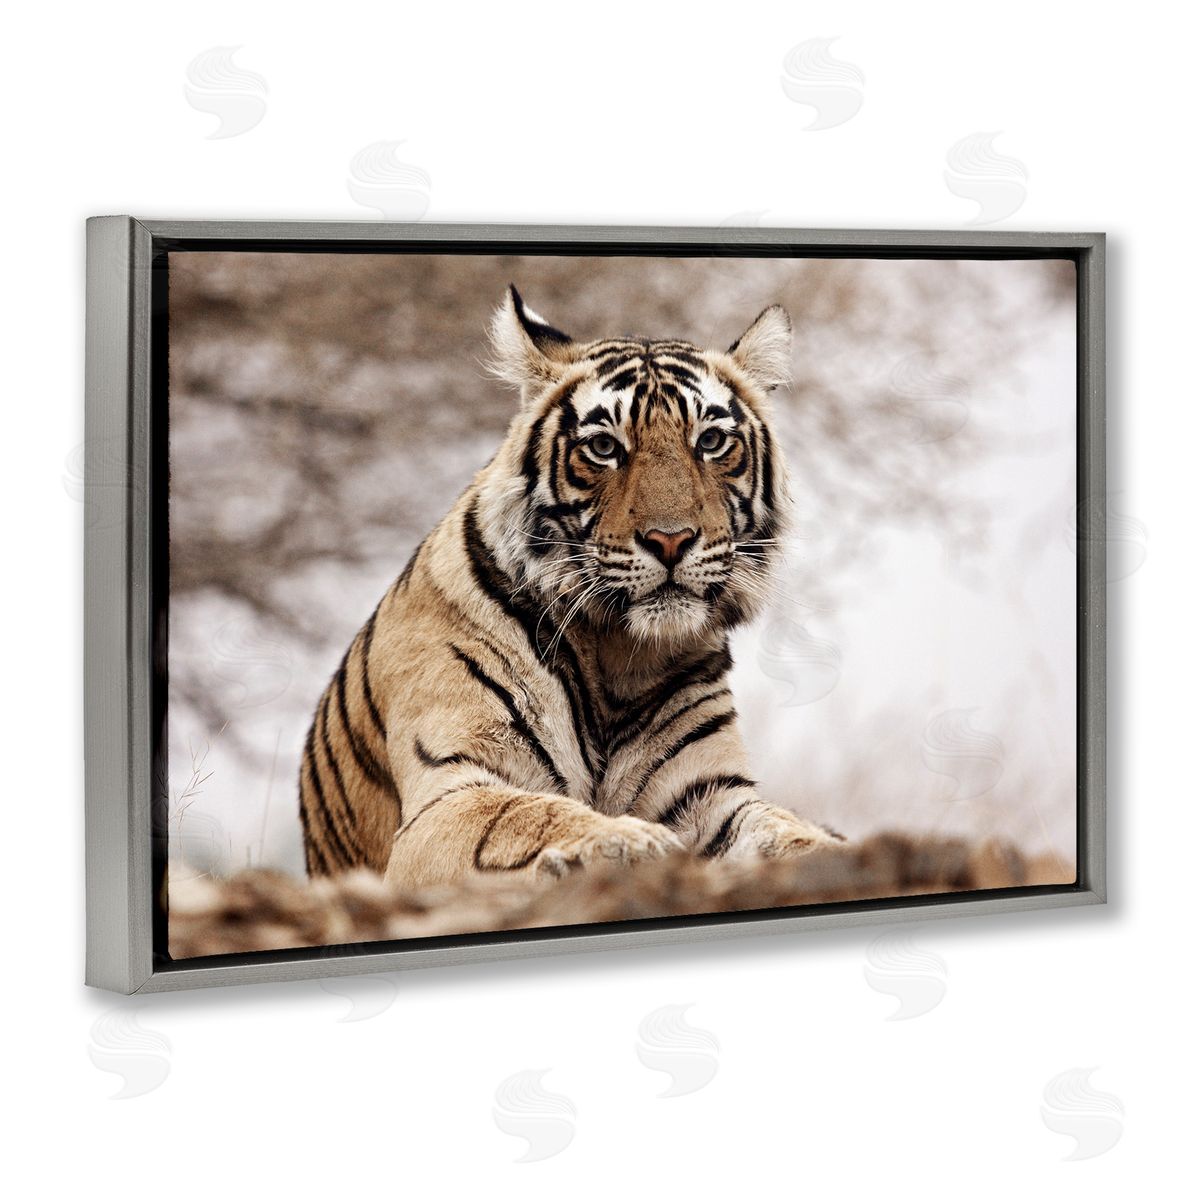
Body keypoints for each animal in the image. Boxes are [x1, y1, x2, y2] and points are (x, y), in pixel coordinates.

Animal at [298, 285, 842, 890]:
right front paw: (628, 841)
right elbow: (528, 814)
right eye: (604, 447)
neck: (619, 655)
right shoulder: (449, 794)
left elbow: (783, 830)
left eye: (711, 441)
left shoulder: (711, 793)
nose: (671, 540)